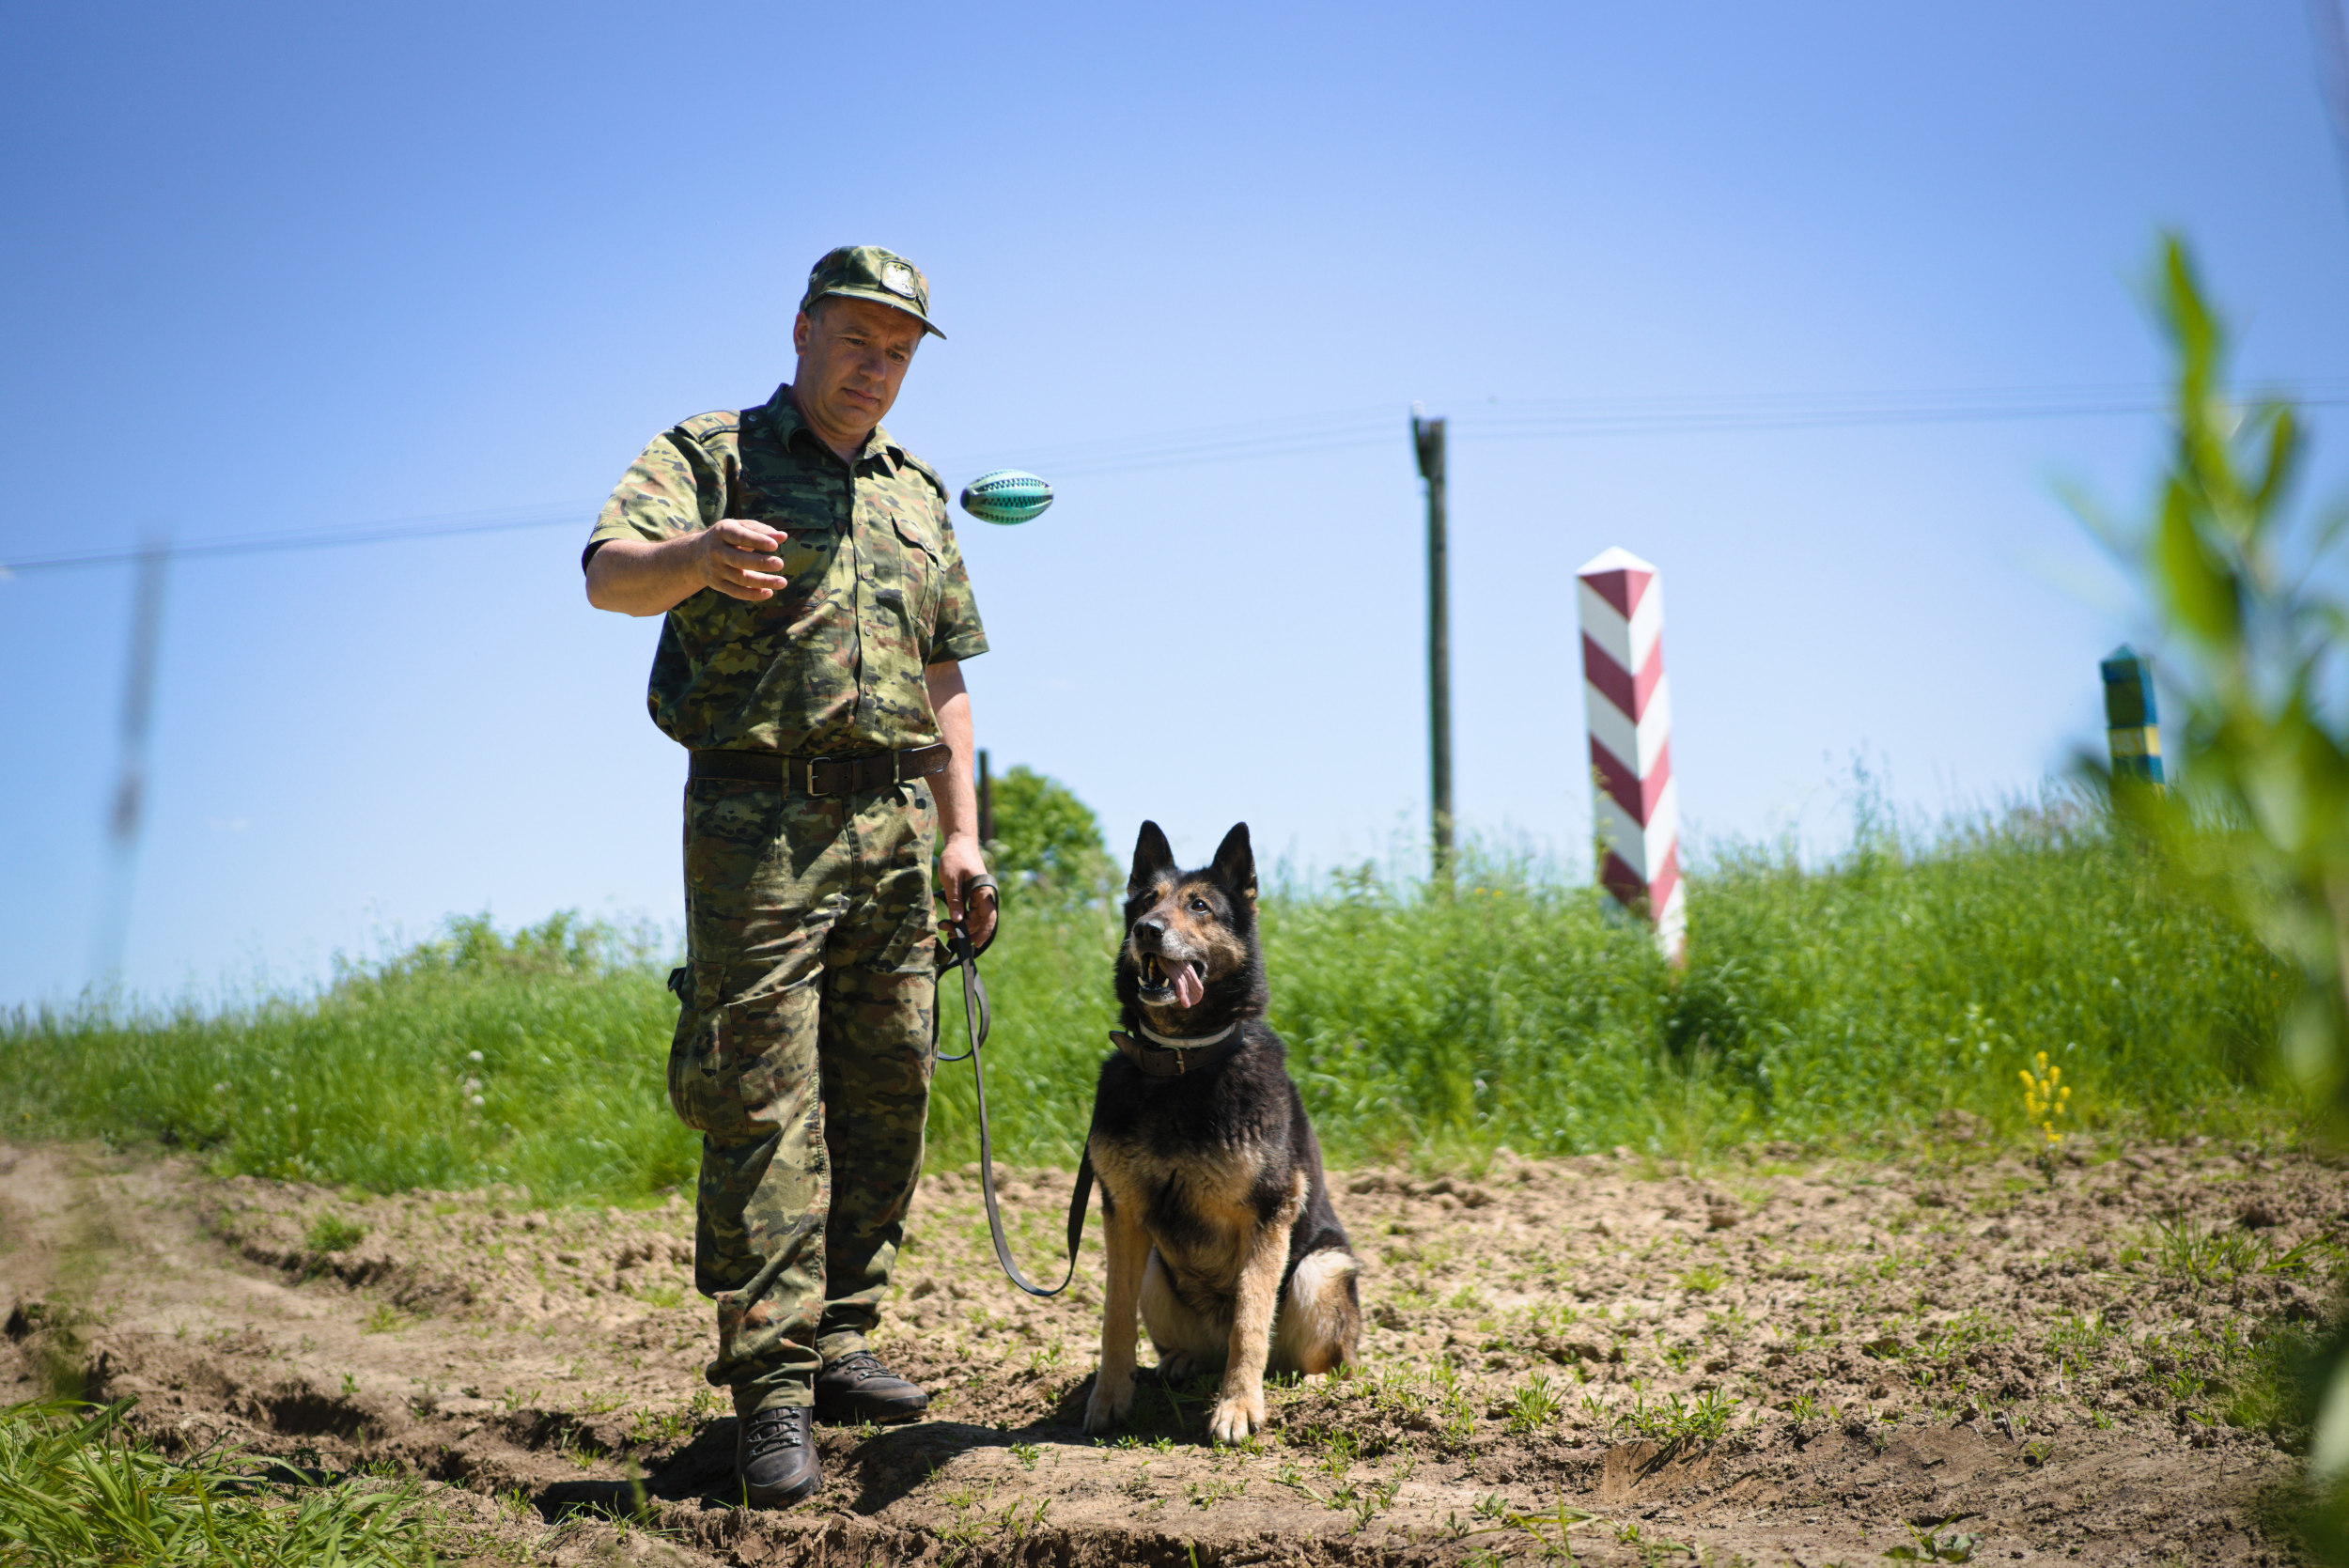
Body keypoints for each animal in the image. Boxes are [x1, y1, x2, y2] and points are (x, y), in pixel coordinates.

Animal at [1076, 821, 1362, 1446]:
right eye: (1145, 901)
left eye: (1199, 906)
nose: (1146, 930)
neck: (1182, 1063)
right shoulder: (1123, 1215)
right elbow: (1113, 1319)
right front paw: (1109, 1398)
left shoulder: (1268, 1215)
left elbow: (1250, 1320)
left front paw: (1237, 1408)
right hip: (1156, 1271)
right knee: (1196, 1346)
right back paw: (1182, 1362)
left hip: (1318, 1270)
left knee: (1323, 1359)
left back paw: (1312, 1386)